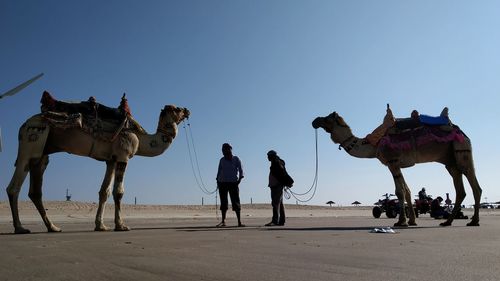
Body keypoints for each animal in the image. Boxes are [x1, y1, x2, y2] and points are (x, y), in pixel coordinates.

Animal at [5, 97, 189, 234]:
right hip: (32, 142)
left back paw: (53, 227)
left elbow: (104, 192)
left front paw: (100, 225)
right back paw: (20, 227)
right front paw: (121, 226)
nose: (188, 110)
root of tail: (23, 125)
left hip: (42, 154)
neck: (141, 138)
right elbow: (118, 192)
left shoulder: (111, 160)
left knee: (35, 190)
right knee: (14, 187)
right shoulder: (123, 155)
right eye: (177, 109)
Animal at [312, 108, 480, 226]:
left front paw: (401, 222)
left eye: (327, 118)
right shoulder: (396, 164)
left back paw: (473, 221)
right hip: (450, 161)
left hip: (461, 150)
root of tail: (461, 131)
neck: (374, 144)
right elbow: (407, 191)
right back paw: (447, 222)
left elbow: (399, 192)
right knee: (460, 189)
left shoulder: (392, 161)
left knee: (474, 185)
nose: (315, 120)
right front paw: (411, 221)